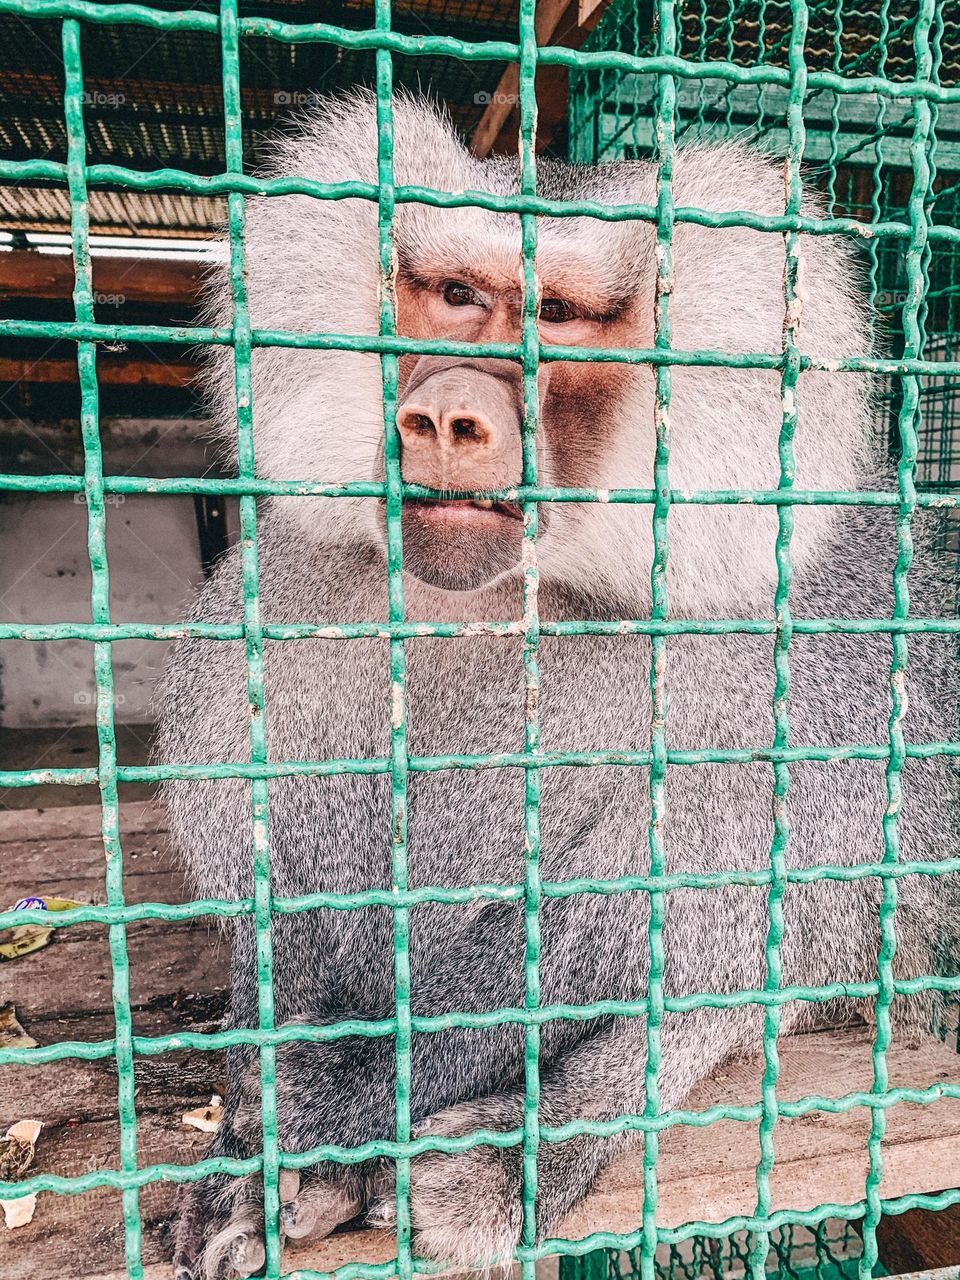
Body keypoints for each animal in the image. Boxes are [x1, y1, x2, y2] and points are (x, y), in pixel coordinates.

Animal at [156, 92, 959, 1279]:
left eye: (562, 314)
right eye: (456, 296)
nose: (449, 417)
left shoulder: (780, 683)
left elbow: (674, 926)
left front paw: (327, 1113)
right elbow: (284, 921)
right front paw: (258, 1142)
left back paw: (518, 1147)